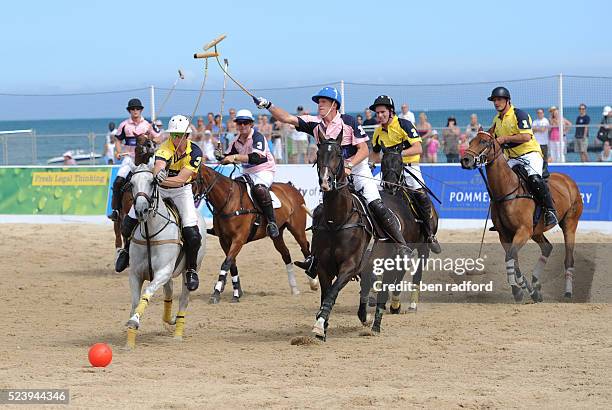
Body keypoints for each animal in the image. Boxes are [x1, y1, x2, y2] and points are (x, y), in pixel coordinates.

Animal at [192, 164, 320, 304]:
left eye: (193, 180)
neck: (229, 200)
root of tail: (291, 187)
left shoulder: (239, 239)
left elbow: (226, 263)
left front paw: (217, 293)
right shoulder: (224, 240)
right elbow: (231, 264)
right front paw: (236, 292)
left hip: (297, 228)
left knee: (305, 247)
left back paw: (313, 282)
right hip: (277, 234)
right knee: (286, 253)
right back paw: (294, 288)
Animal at [460, 131, 584, 302]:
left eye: (484, 142)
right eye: (471, 141)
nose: (465, 160)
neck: (507, 189)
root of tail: (568, 179)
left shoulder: (523, 231)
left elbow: (510, 257)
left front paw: (519, 289)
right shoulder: (505, 234)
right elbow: (513, 260)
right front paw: (526, 289)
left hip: (569, 224)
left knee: (568, 259)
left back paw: (567, 292)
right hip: (536, 230)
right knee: (547, 247)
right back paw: (536, 282)